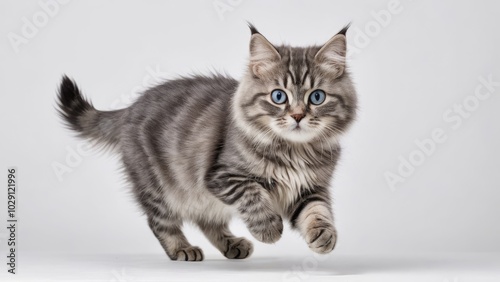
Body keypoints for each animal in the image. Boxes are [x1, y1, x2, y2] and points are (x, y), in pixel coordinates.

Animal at [57, 24, 356, 262]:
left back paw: (231, 245)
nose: (297, 116)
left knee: (206, 220)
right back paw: (181, 249)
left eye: (317, 97)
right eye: (278, 96)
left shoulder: (309, 188)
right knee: (160, 222)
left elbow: (316, 211)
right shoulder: (221, 176)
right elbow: (254, 195)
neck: (295, 150)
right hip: (159, 187)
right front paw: (268, 229)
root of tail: (131, 108)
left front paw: (324, 235)